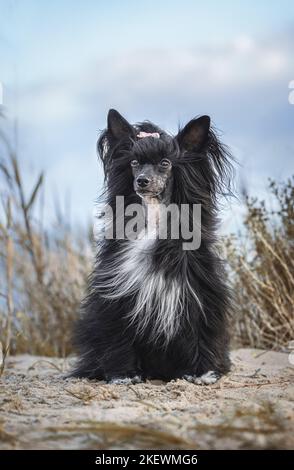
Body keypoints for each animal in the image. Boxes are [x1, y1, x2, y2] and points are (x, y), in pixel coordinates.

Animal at [71, 108, 234, 384]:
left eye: (165, 163)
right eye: (134, 163)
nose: (142, 181)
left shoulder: (197, 294)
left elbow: (199, 333)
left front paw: (202, 373)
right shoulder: (118, 297)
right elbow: (120, 339)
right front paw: (124, 375)